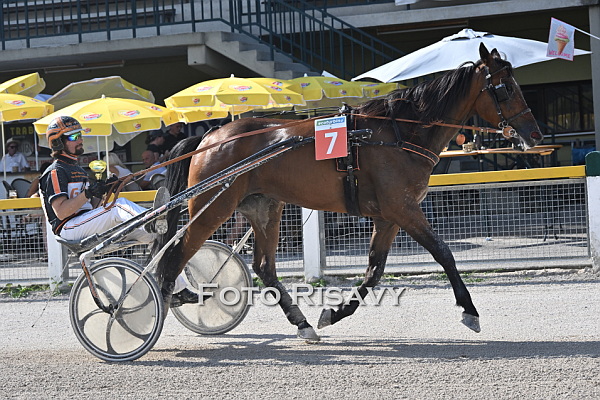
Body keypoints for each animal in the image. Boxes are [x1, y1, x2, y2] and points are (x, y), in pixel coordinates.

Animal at [153, 43, 542, 341]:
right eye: (506, 87)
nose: (535, 134)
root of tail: (209, 136)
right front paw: (469, 310)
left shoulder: (389, 217)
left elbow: (374, 271)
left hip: (264, 208)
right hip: (212, 207)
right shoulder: (403, 210)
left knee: (264, 267)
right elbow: (444, 253)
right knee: (176, 255)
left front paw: (334, 313)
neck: (397, 133)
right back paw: (157, 307)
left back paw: (303, 324)